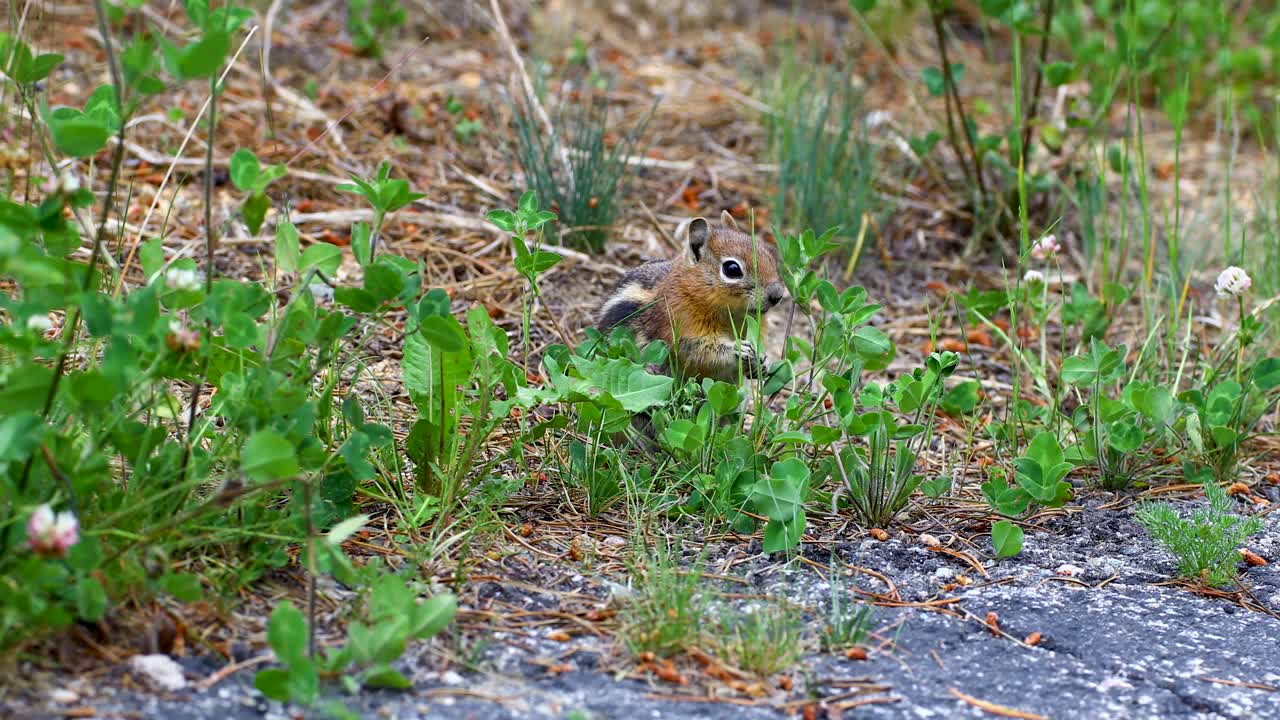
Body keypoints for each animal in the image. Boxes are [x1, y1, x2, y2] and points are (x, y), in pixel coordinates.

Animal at [596, 211, 787, 383]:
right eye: (732, 269)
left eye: (770, 256)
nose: (777, 295)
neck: (733, 314)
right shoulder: (679, 324)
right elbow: (698, 351)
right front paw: (738, 348)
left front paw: (764, 360)